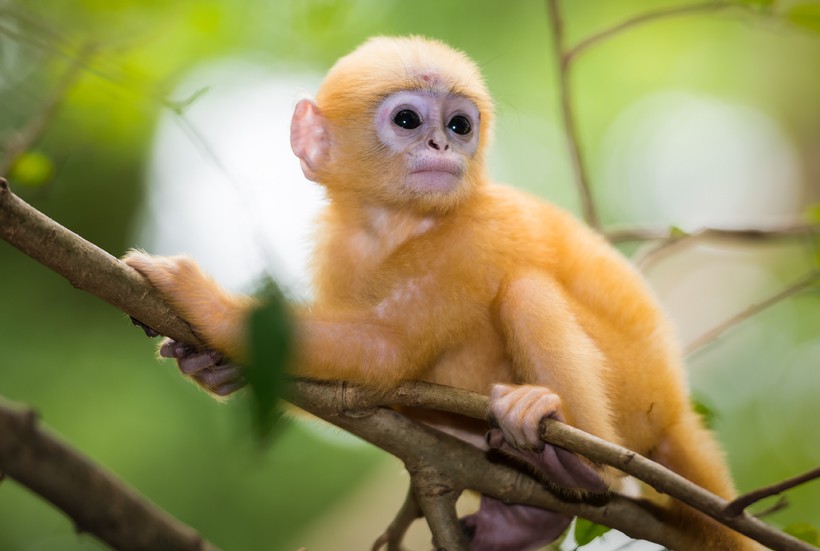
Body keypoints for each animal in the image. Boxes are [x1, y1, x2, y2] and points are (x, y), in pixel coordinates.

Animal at [125, 36, 760, 548]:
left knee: (525, 292)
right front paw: (213, 365)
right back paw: (523, 516)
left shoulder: (474, 236)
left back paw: (578, 465)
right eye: (408, 120)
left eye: (459, 125)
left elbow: (389, 348)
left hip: (634, 388)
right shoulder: (338, 249)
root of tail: (675, 406)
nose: (441, 146)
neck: (398, 224)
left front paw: (199, 298)